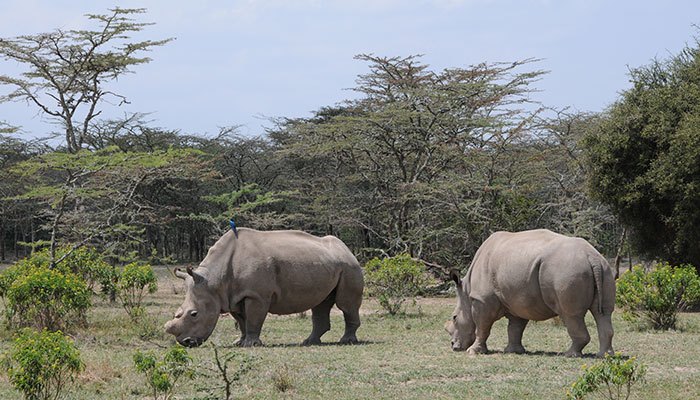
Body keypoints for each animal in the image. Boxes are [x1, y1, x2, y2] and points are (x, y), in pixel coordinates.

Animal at [165, 227, 364, 347]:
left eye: (194, 314)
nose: (186, 342)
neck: (214, 281)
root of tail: (347, 249)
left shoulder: (256, 295)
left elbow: (253, 319)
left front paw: (251, 344)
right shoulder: (233, 296)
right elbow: (242, 321)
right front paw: (240, 342)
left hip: (349, 266)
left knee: (346, 304)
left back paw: (346, 341)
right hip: (329, 263)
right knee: (320, 304)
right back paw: (309, 342)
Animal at [445, 229, 615, 357]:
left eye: (454, 318)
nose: (453, 346)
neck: (467, 290)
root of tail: (591, 257)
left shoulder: (482, 300)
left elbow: (482, 326)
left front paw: (473, 351)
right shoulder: (518, 300)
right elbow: (515, 327)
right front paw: (513, 351)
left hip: (567, 270)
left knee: (570, 315)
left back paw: (569, 354)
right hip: (604, 268)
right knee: (603, 313)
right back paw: (604, 356)